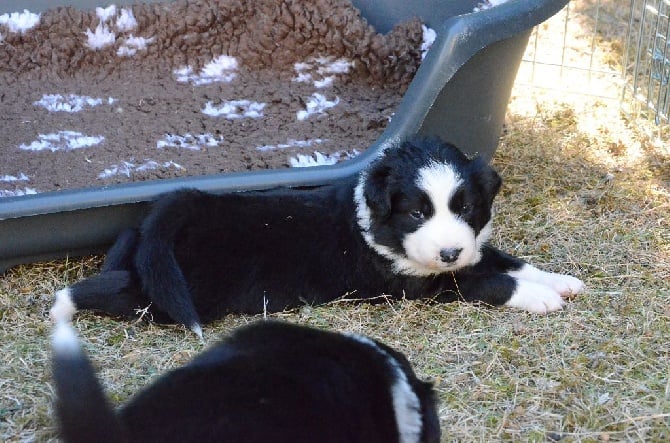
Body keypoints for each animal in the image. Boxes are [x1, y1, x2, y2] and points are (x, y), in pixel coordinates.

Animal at [53, 138, 588, 336]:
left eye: (466, 209)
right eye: (417, 212)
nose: (450, 250)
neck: (378, 224)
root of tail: (182, 208)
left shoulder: (470, 249)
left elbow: (506, 259)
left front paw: (560, 281)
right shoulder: (425, 283)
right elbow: (490, 280)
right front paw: (539, 298)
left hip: (141, 240)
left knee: (124, 244)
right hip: (183, 292)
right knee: (121, 291)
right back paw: (64, 303)